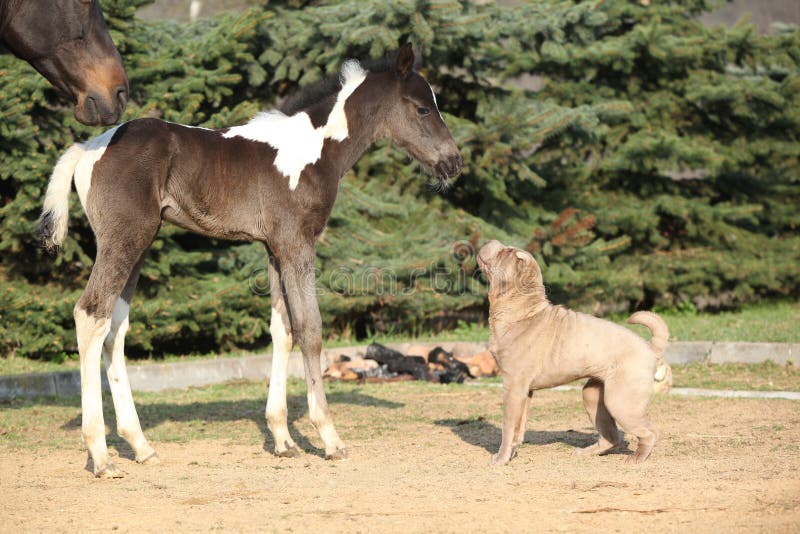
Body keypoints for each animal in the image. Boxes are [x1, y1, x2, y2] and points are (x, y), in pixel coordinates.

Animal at [39, 43, 462, 478]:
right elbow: (310, 329)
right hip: (123, 240)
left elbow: (283, 330)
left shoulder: (274, 249)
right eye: (422, 109)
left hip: (137, 244)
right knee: (90, 314)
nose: (453, 162)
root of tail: (90, 148)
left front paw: (283, 439)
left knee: (115, 328)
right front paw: (329, 438)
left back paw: (141, 446)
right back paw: (101, 455)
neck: (312, 149)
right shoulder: (297, 244)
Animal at [478, 241, 672, 466]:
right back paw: (585, 452)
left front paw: (500, 459)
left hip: (621, 401)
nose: (492, 241)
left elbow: (508, 426)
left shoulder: (513, 387)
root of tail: (650, 349)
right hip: (594, 395)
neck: (522, 310)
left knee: (650, 431)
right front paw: (512, 452)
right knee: (611, 437)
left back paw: (637, 458)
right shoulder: (525, 391)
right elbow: (519, 426)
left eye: (507, 251)